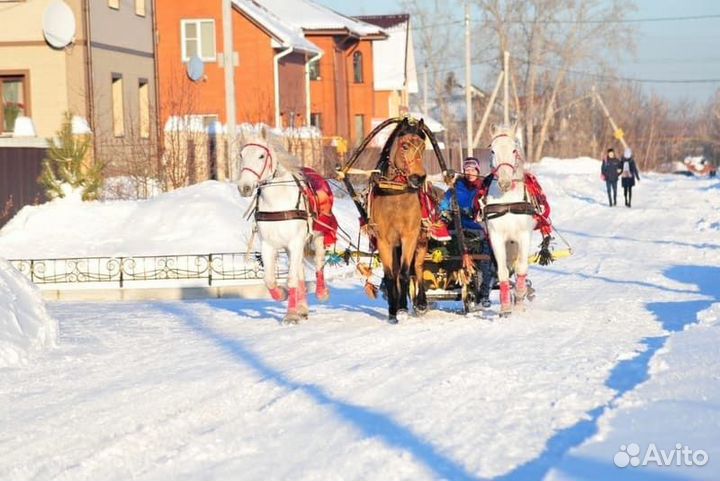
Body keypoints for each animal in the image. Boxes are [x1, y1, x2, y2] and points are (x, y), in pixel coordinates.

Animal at [235, 128, 328, 322]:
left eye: (261, 155)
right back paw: (302, 307)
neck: (277, 202)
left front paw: (291, 314)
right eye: (241, 155)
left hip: (318, 235)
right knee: (300, 271)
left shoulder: (296, 240)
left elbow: (291, 278)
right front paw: (282, 295)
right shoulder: (268, 244)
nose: (244, 187)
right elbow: (270, 280)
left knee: (319, 261)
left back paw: (321, 292)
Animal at [372, 117, 428, 322]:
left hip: (422, 240)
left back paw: (421, 303)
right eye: (405, 146)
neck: (395, 196)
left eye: (423, 146)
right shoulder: (383, 241)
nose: (418, 178)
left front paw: (403, 309)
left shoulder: (409, 236)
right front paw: (392, 311)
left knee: (418, 267)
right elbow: (391, 276)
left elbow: (405, 273)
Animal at [484, 124, 536, 316]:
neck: (507, 201)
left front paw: (520, 297)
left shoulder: (524, 235)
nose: (505, 182)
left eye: (514, 150)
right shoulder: (496, 237)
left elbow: (522, 267)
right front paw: (505, 307)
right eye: (492, 150)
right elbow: (503, 271)